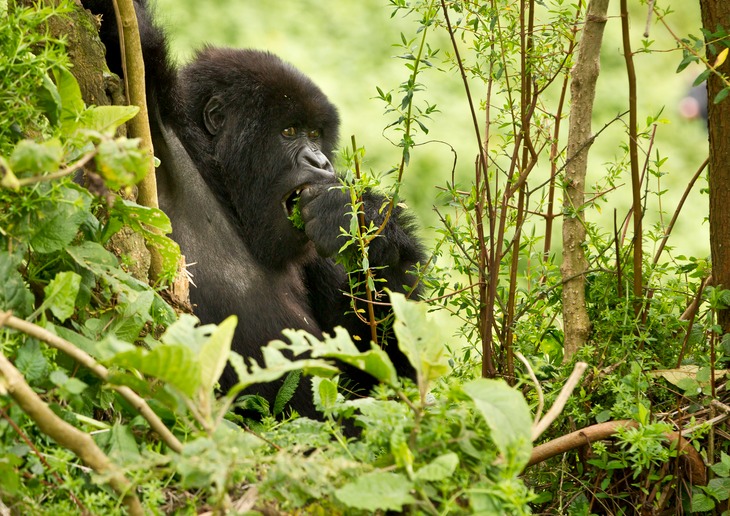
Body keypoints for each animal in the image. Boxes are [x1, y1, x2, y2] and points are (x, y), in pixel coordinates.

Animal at [84, 1, 424, 420]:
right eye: (289, 132)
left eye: (315, 134)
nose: (321, 162)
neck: (224, 190)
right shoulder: (152, 120)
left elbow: (390, 368)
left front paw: (366, 222)